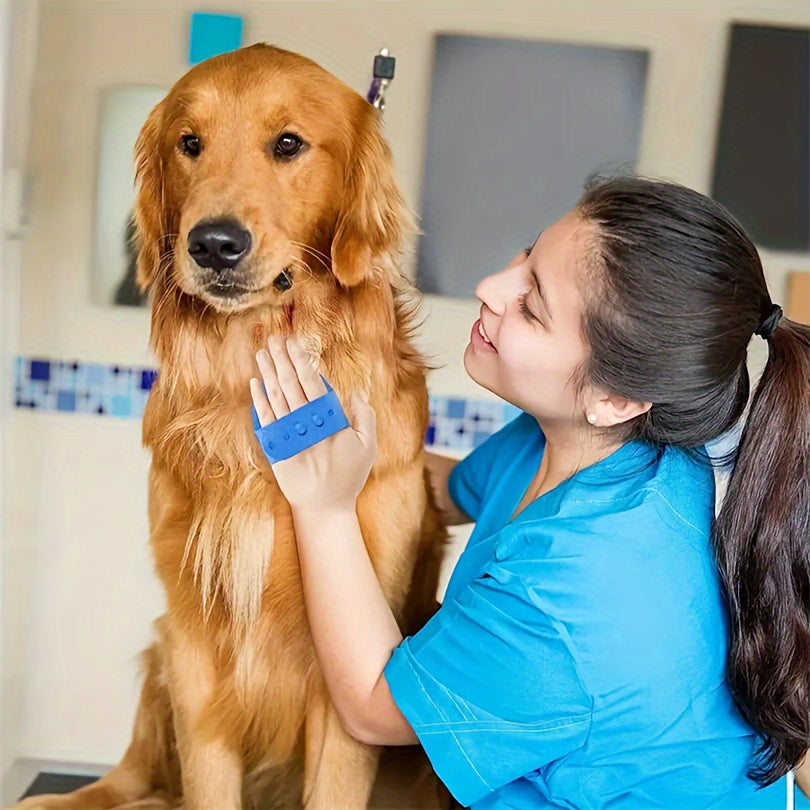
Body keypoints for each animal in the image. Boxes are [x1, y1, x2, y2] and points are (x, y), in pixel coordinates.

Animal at [7, 42, 448, 808]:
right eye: (189, 144)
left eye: (289, 144)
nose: (214, 244)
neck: (248, 376)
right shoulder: (190, 632)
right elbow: (205, 778)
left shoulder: (354, 662)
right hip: (157, 656)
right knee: (132, 776)